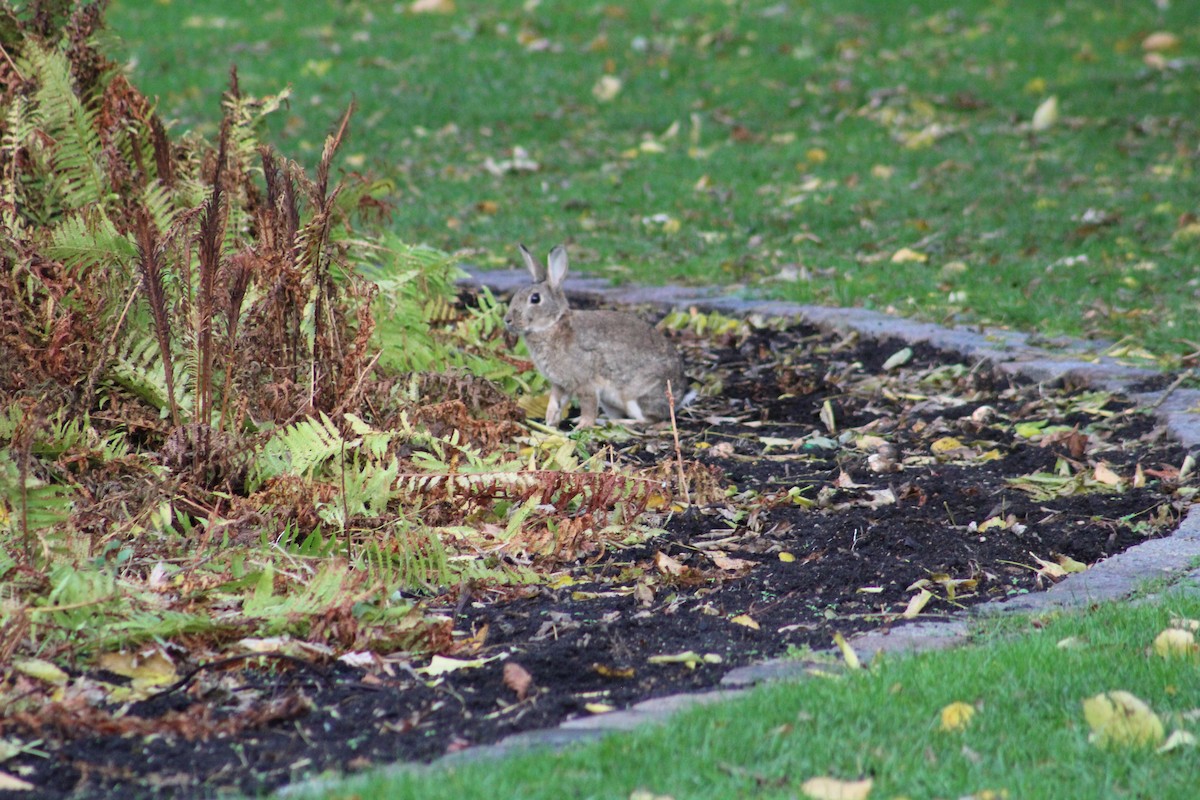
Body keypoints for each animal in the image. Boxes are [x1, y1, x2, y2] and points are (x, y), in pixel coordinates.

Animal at [503, 244, 691, 429]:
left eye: (535, 298)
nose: (507, 320)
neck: (553, 325)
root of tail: (679, 397)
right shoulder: (560, 384)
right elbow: (555, 402)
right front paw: (550, 423)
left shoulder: (585, 383)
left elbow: (588, 405)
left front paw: (582, 426)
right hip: (610, 403)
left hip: (637, 396)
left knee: (651, 420)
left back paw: (617, 422)